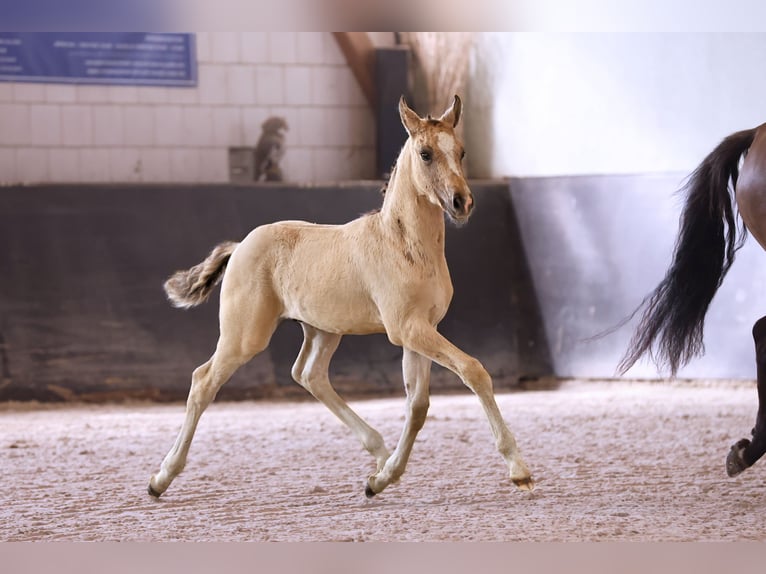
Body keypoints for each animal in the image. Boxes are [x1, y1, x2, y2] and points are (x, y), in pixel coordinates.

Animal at [148, 94, 536, 500]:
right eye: (426, 153)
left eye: (461, 152)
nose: (462, 202)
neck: (404, 245)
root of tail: (239, 246)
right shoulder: (407, 329)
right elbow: (473, 370)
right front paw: (519, 470)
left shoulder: (420, 331)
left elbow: (417, 405)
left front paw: (382, 479)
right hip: (244, 336)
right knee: (203, 381)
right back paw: (161, 478)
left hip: (323, 329)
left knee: (309, 374)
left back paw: (378, 452)